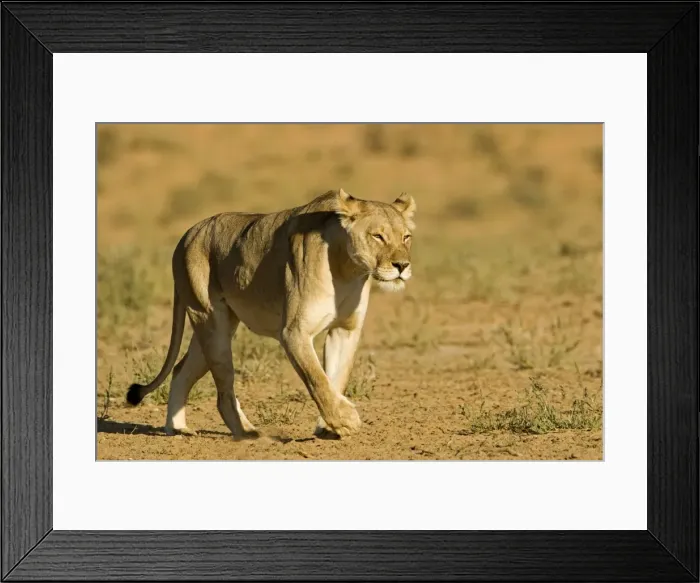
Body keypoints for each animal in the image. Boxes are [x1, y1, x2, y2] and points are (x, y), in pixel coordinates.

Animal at [125, 188, 416, 439]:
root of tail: (188, 234)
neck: (348, 269)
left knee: (180, 370)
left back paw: (177, 429)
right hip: (210, 321)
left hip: (212, 327)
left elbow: (336, 378)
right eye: (378, 236)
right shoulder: (293, 332)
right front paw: (347, 420)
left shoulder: (345, 330)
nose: (402, 266)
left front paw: (329, 427)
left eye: (406, 237)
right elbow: (317, 379)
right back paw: (248, 434)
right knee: (223, 392)